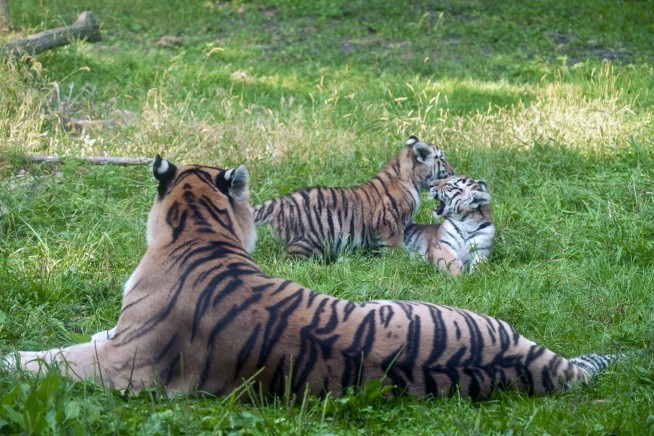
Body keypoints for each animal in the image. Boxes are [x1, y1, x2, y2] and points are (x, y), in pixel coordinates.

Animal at [2, 156, 619, 401]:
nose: (446, 193)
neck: (200, 231)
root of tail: (537, 365)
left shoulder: (124, 362)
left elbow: (54, 360)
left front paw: (14, 361)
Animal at [252, 136, 455, 260]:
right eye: (442, 159)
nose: (453, 171)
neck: (408, 178)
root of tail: (280, 201)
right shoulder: (390, 222)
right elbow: (395, 246)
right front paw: (400, 260)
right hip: (308, 240)